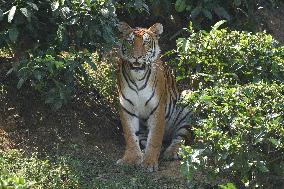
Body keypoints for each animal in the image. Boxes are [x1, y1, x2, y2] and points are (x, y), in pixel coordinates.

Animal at [115, 21, 191, 172]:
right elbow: (130, 136)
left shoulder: (157, 108)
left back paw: (171, 152)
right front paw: (130, 159)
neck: (138, 77)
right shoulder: (127, 107)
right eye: (130, 42)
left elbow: (155, 138)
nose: (137, 57)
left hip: (187, 100)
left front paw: (149, 162)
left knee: (181, 137)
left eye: (145, 43)